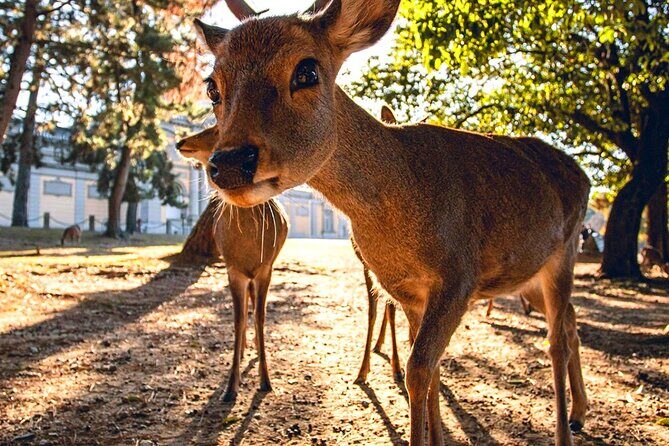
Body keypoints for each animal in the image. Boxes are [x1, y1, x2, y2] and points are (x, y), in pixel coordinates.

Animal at [176, 127, 289, 402]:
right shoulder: (233, 269)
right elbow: (237, 320)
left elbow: (261, 316)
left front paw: (266, 380)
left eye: (216, 128)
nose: (180, 141)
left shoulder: (265, 269)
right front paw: (230, 387)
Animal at [192, 1, 590, 444]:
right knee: (571, 322)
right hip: (528, 274)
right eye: (212, 87)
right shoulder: (407, 291)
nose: (229, 163)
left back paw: (566, 428)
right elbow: (431, 369)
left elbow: (418, 371)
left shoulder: (459, 277)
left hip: (565, 252)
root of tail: (585, 175)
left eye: (307, 71)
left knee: (556, 340)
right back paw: (579, 412)